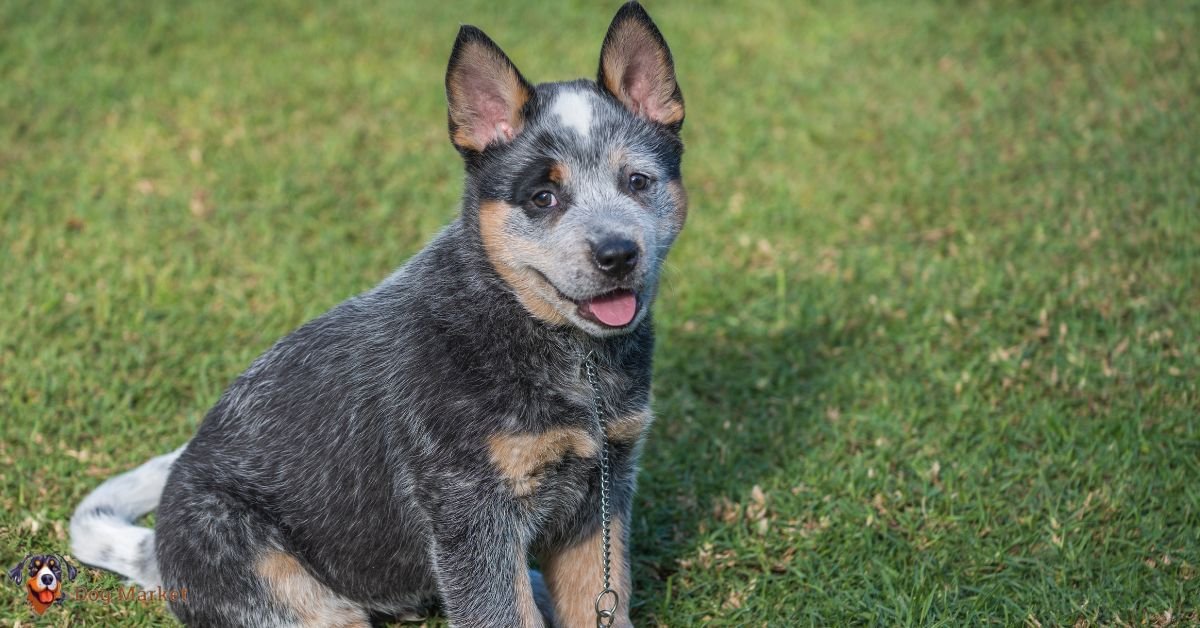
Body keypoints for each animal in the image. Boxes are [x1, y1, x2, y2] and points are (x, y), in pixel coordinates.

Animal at [72, 2, 686, 624]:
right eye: (544, 197)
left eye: (637, 181)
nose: (617, 254)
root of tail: (156, 551)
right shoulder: (472, 514)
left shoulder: (603, 491)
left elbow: (600, 601)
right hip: (296, 594)